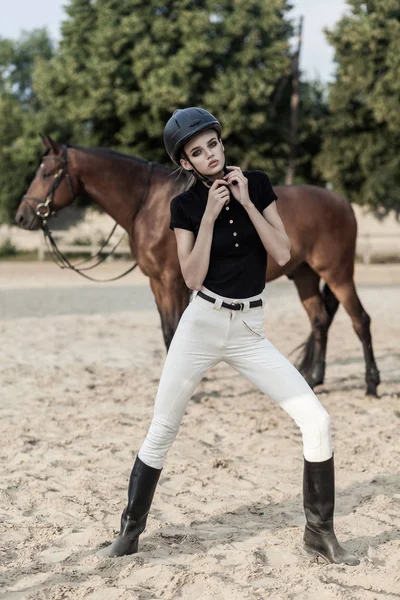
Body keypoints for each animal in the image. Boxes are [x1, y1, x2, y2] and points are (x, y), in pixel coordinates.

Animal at [14, 138, 380, 396]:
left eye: (46, 173)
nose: (22, 216)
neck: (150, 204)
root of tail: (342, 202)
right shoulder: (157, 283)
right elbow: (167, 331)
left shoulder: (173, 281)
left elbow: (175, 330)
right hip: (304, 274)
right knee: (320, 320)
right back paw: (311, 379)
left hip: (337, 273)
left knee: (360, 320)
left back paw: (371, 383)